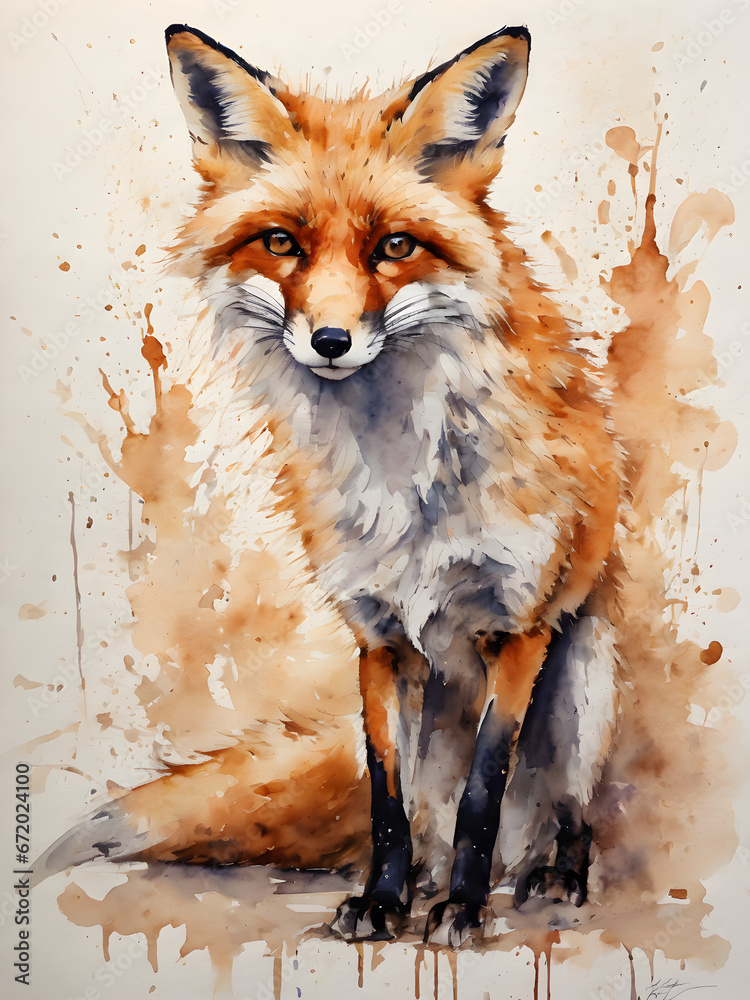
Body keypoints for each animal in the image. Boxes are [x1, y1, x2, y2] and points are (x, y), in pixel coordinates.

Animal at [36, 24, 624, 948]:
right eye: (283, 243)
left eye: (396, 246)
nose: (332, 341)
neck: (399, 472)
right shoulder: (377, 637)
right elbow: (388, 800)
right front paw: (383, 902)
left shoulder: (517, 627)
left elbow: (485, 794)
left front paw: (462, 910)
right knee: (420, 819)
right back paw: (425, 881)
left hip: (584, 691)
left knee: (557, 812)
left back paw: (545, 875)